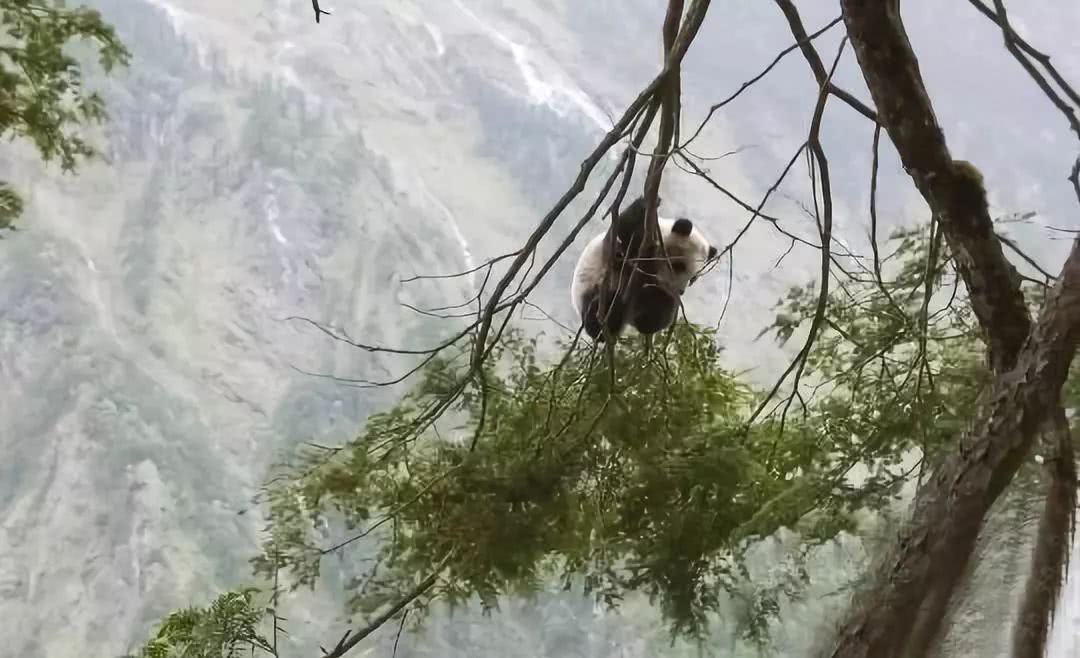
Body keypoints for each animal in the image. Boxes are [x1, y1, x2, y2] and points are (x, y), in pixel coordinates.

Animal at [574, 194, 717, 341]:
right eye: (678, 266)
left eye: (693, 278)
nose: (680, 291)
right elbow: (619, 237)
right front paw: (651, 202)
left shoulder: (659, 289)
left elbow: (657, 317)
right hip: (589, 287)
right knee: (596, 313)